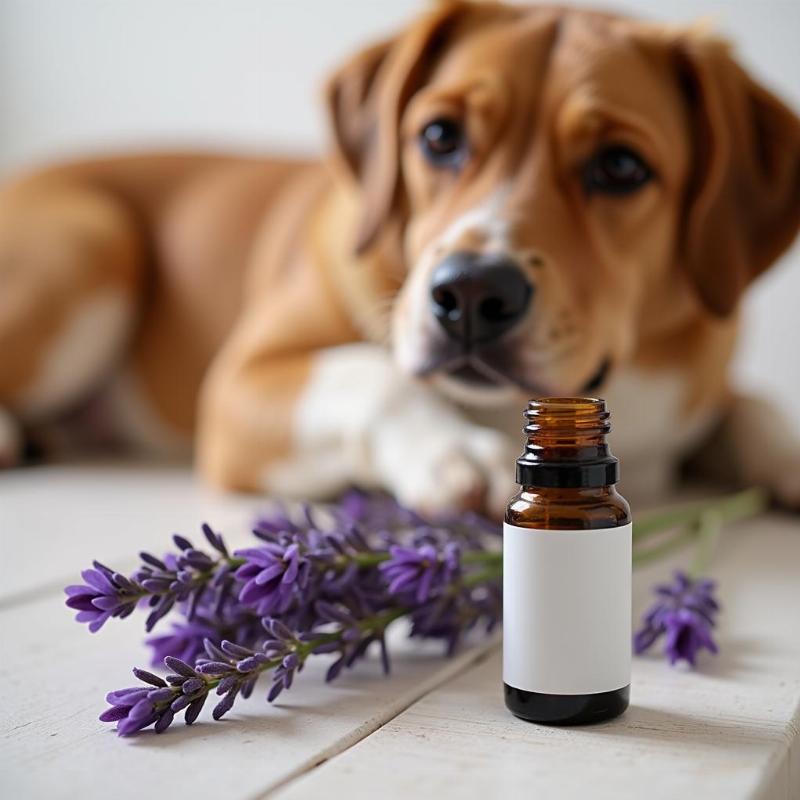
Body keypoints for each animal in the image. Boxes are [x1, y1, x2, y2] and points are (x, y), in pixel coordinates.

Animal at [1, 1, 800, 520]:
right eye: (440, 136)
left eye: (621, 167)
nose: (471, 292)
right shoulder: (239, 383)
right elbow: (371, 370)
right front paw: (453, 451)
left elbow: (751, 406)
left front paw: (787, 453)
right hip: (95, 241)